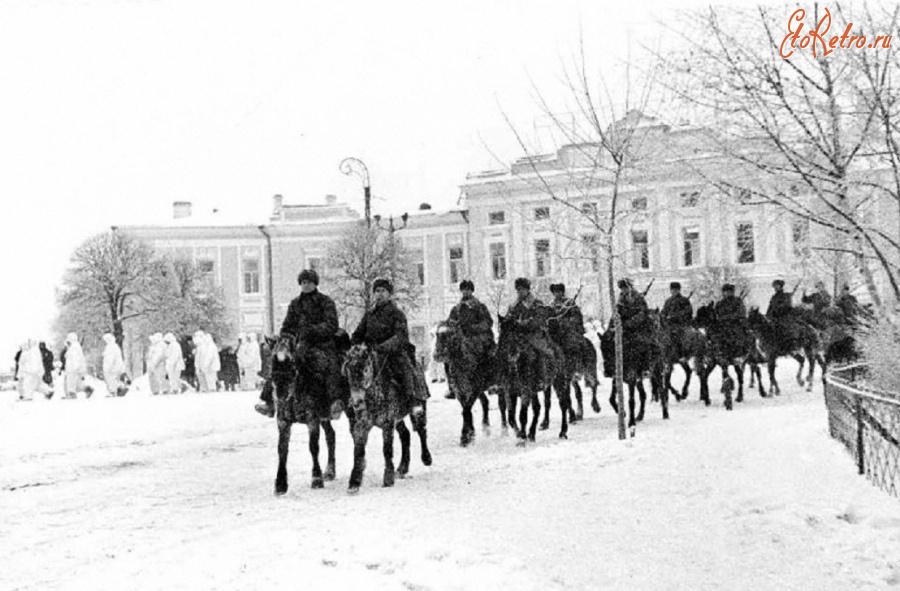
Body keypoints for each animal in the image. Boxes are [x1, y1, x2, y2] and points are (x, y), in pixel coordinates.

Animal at [270, 336, 342, 498]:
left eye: (291, 362)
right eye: (273, 359)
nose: (280, 395)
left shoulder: (312, 420)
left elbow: (313, 447)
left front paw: (316, 479)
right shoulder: (283, 422)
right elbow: (282, 449)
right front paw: (280, 484)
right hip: (324, 418)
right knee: (331, 435)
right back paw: (330, 471)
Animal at [342, 344, 432, 492]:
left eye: (366, 369)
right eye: (348, 370)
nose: (356, 402)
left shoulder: (388, 423)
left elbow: (387, 449)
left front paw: (388, 478)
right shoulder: (362, 424)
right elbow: (358, 450)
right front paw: (354, 482)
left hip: (419, 410)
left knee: (421, 431)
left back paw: (426, 458)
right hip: (399, 420)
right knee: (405, 435)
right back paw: (402, 468)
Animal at [496, 314, 568, 444]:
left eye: (518, 334)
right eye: (502, 334)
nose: (513, 354)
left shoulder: (525, 391)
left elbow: (522, 415)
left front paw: (522, 438)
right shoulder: (509, 391)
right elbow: (511, 416)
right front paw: (520, 434)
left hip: (559, 381)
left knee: (563, 405)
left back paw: (563, 432)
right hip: (535, 391)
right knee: (537, 408)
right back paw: (532, 434)